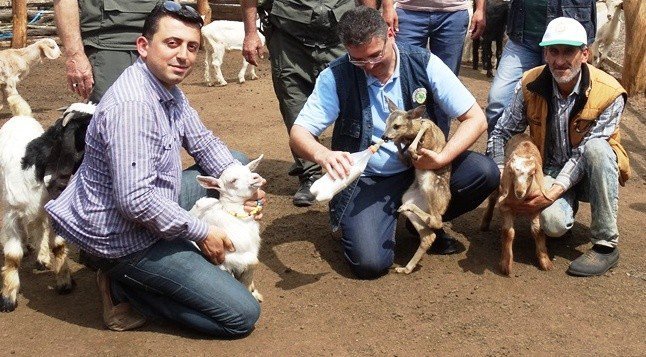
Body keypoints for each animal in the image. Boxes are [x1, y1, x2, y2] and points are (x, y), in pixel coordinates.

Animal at [0, 102, 95, 312]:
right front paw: (7, 298)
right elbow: (12, 256)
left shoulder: (52, 209)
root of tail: (21, 116)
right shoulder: (11, 214)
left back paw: (42, 257)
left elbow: (58, 245)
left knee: (39, 225)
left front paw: (64, 282)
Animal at [190, 155, 266, 300]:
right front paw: (249, 290)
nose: (256, 177)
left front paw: (254, 291)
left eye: (249, 171)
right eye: (233, 180)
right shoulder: (225, 255)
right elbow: (254, 261)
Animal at [382, 96, 454, 274]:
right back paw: (405, 269)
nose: (384, 136)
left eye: (396, 125)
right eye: (386, 122)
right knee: (429, 235)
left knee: (436, 221)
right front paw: (405, 153)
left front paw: (413, 151)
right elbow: (400, 148)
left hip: (430, 185)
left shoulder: (427, 125)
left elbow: (423, 128)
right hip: (409, 196)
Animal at [484, 134, 556, 276]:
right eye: (511, 172)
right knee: (492, 199)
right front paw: (505, 265)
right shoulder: (505, 206)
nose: (519, 192)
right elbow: (508, 232)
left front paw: (545, 262)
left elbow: (538, 230)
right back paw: (485, 223)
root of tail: (522, 135)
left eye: (532, 174)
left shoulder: (537, 205)